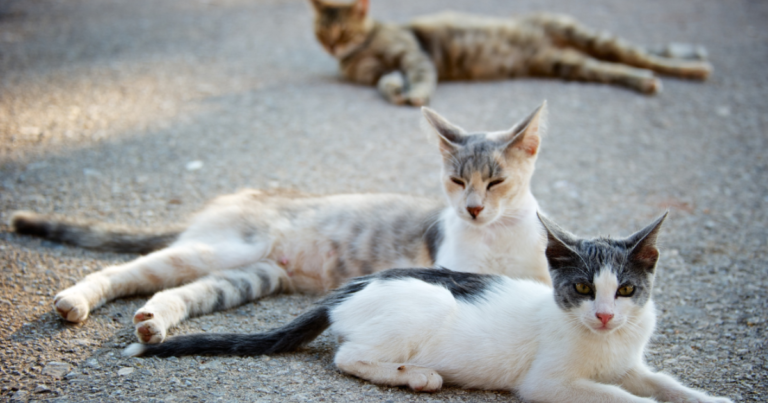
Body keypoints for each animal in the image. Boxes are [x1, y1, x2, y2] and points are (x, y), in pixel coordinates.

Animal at [13, 102, 552, 344]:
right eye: (457, 182)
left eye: (496, 181)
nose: (473, 209)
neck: (498, 234)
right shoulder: (449, 265)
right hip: (222, 249)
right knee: (124, 271)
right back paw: (76, 300)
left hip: (249, 277)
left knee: (176, 293)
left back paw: (152, 323)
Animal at [126, 213, 732, 402]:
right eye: (583, 289)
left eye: (625, 292)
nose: (604, 316)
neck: (605, 344)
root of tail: (354, 287)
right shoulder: (549, 384)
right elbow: (620, 397)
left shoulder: (632, 364)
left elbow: (662, 383)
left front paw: (710, 398)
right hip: (423, 306)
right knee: (348, 357)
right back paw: (414, 375)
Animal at [308, 0, 712, 105]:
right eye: (322, 33)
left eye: (343, 30)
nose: (334, 46)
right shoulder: (384, 70)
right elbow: (387, 82)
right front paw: (396, 91)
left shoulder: (413, 55)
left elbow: (421, 77)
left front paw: (416, 94)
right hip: (569, 64)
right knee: (616, 67)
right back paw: (646, 82)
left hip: (587, 37)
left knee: (641, 56)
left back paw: (693, 69)